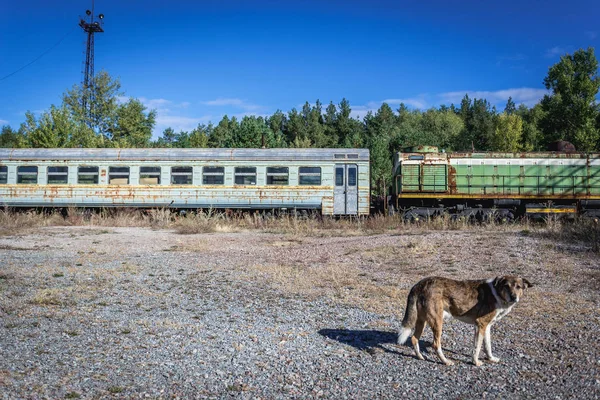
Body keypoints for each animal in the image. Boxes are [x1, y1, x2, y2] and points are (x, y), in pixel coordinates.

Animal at [396, 278, 532, 366]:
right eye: (506, 286)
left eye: (518, 287)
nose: (514, 297)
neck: (497, 293)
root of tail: (419, 284)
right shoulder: (480, 325)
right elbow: (477, 348)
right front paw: (476, 362)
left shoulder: (487, 327)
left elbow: (488, 346)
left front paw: (491, 359)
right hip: (437, 322)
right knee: (435, 344)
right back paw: (446, 361)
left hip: (422, 321)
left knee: (414, 338)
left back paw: (420, 357)